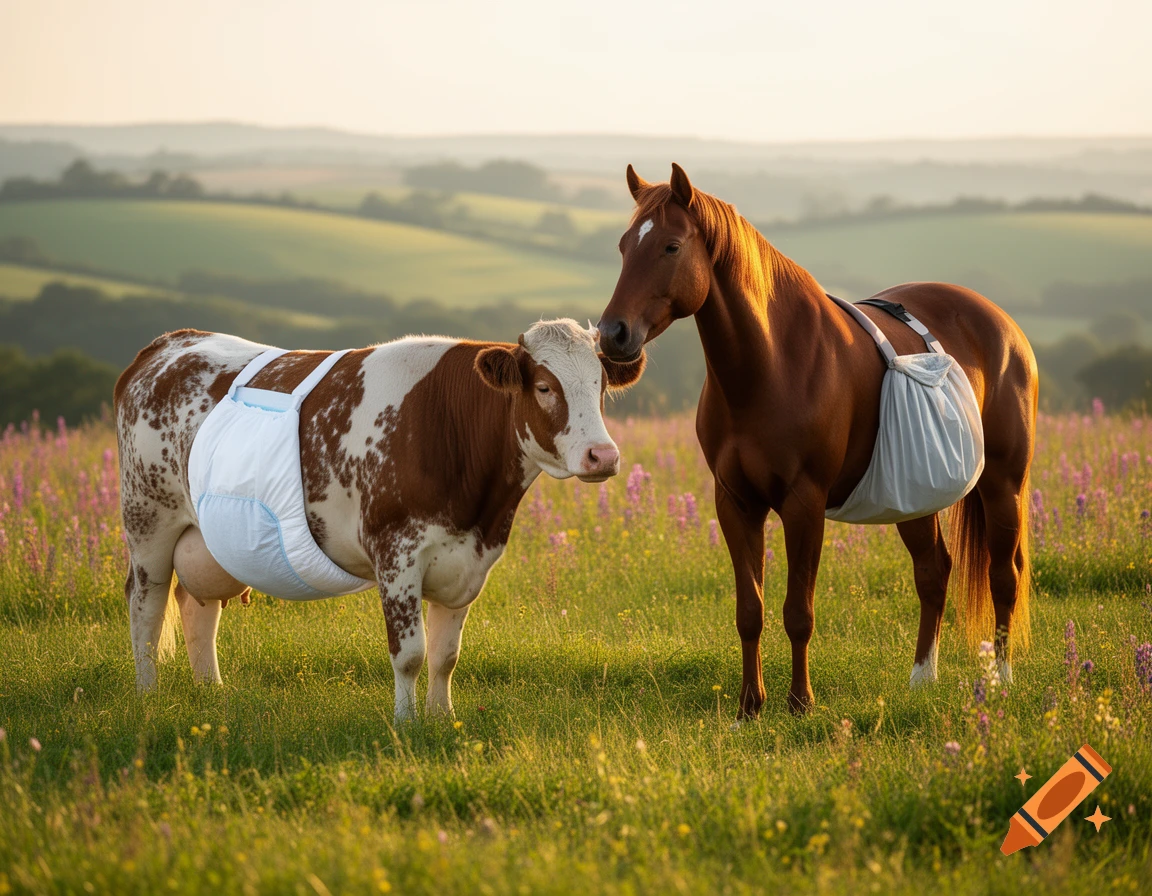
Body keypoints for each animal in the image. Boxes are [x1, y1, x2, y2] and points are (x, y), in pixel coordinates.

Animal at [114, 319, 645, 721]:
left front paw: (442, 718)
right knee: (147, 604)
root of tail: (171, 342)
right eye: (544, 386)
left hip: (207, 538)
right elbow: (410, 655)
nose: (603, 456)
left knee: (197, 604)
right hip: (147, 518)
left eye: (600, 387)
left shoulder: (469, 562)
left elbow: (446, 656)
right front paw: (406, 724)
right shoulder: (397, 553)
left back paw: (212, 691)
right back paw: (148, 695)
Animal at [597, 164, 1038, 717]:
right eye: (622, 246)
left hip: (1003, 484)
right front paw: (749, 707)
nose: (612, 336)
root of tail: (1003, 324)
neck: (770, 365)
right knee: (934, 572)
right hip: (915, 497)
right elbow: (750, 610)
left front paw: (800, 703)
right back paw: (922, 678)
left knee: (1004, 576)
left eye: (671, 247)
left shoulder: (803, 504)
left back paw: (1001, 680)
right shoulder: (735, 502)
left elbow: (798, 611)